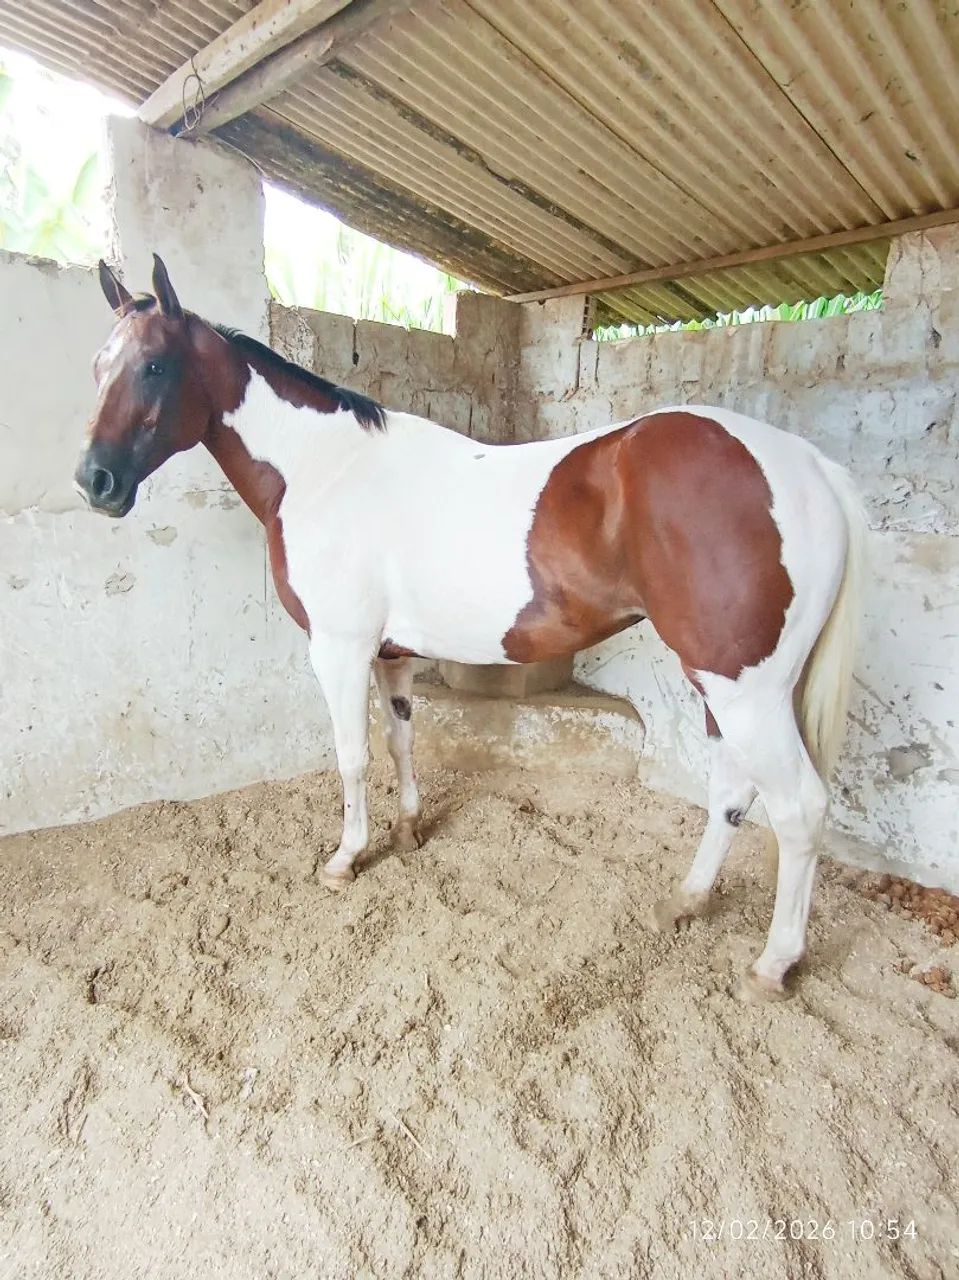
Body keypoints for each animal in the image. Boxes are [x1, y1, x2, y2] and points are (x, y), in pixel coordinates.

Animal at [75, 255, 867, 1002]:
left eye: (154, 365)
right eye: (97, 366)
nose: (94, 482)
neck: (325, 470)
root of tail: (810, 467)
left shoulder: (338, 649)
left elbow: (352, 756)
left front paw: (346, 859)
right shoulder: (390, 653)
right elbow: (400, 739)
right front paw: (408, 830)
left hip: (745, 688)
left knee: (798, 808)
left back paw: (771, 965)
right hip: (720, 681)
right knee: (733, 788)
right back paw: (688, 899)